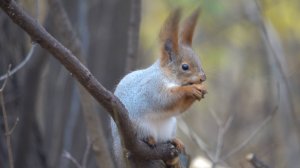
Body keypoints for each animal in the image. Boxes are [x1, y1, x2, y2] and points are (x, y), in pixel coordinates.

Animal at [111, 7, 207, 167]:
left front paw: (200, 90)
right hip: (139, 127)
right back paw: (148, 139)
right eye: (185, 67)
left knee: (166, 140)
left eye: (199, 60)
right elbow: (165, 100)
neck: (168, 77)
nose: (203, 78)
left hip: (170, 126)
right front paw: (190, 90)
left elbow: (178, 108)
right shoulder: (152, 87)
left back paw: (175, 140)